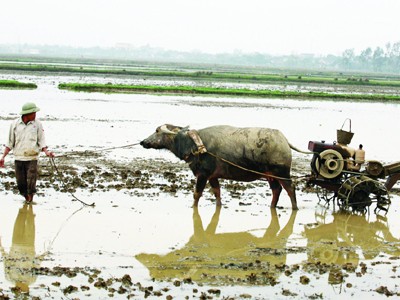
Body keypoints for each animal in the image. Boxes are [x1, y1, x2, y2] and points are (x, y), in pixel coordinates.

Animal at [141, 123, 300, 209]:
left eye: (157, 131)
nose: (143, 142)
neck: (194, 144)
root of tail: (283, 140)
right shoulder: (213, 176)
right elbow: (217, 192)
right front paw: (218, 206)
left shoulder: (203, 174)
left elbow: (197, 194)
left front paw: (193, 207)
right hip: (269, 176)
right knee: (276, 190)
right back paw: (272, 206)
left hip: (282, 173)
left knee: (290, 189)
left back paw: (295, 207)